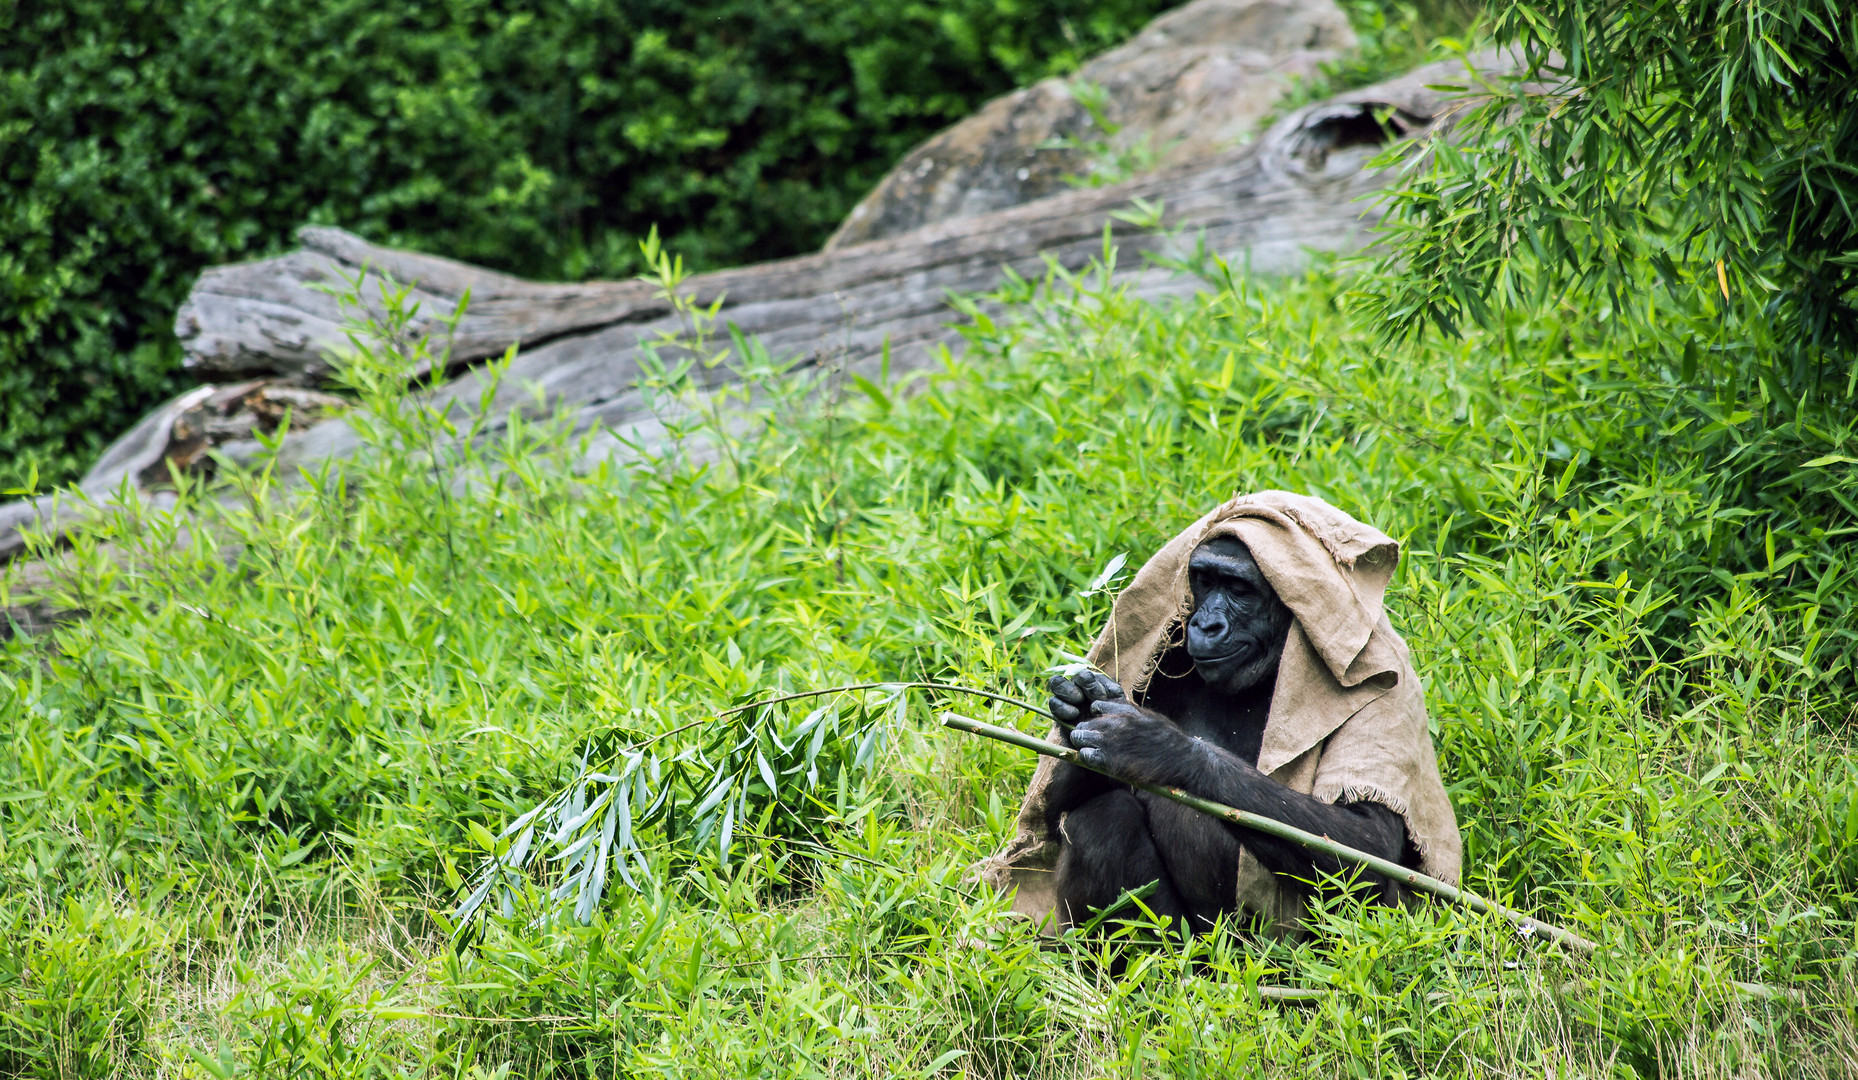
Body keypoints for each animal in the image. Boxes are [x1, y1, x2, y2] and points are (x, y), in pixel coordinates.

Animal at [1040, 535, 1412, 929]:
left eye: (1238, 588)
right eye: (1204, 581)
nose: (1206, 625)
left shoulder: (1385, 686)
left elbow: (1368, 846)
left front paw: (1157, 746)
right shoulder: (1166, 657)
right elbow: (1058, 808)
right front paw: (1085, 706)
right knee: (1103, 817)